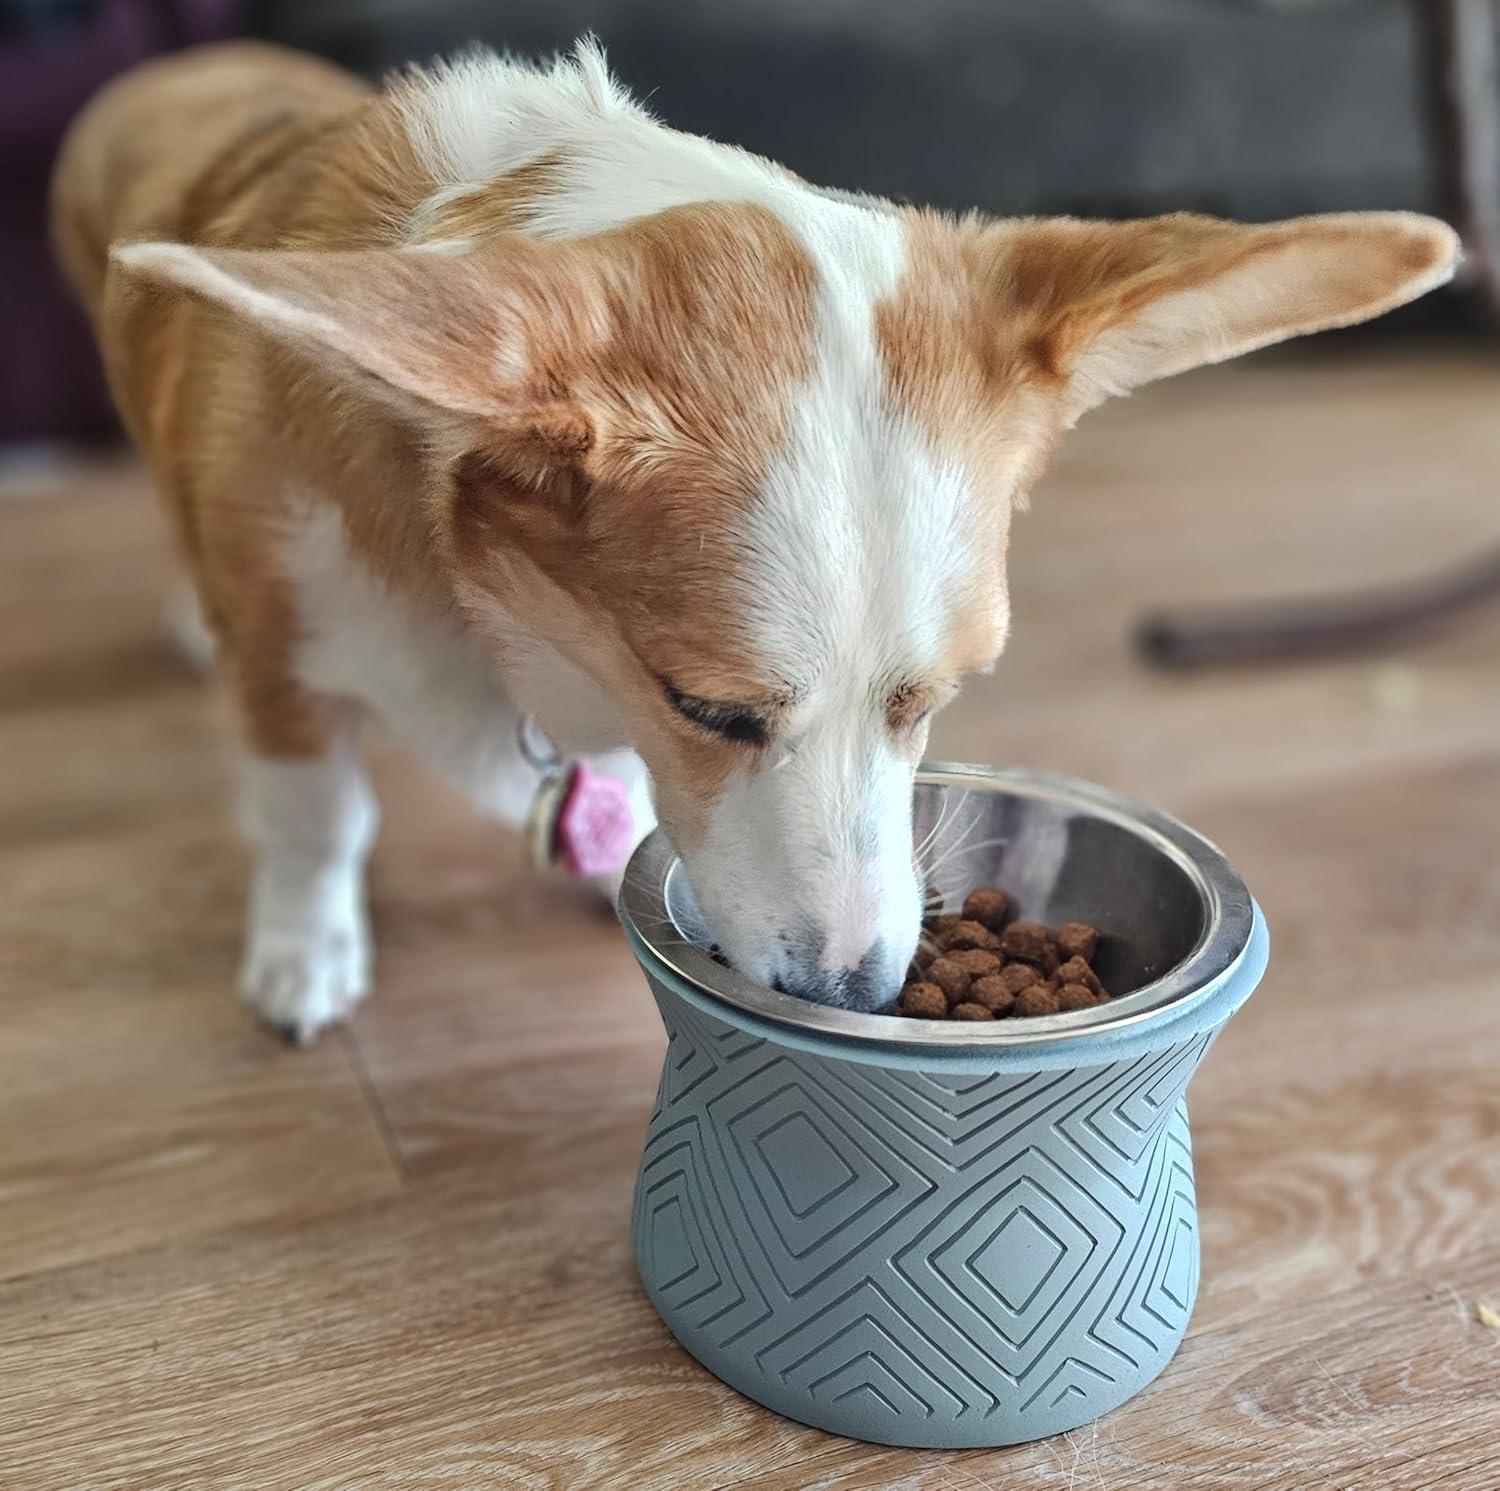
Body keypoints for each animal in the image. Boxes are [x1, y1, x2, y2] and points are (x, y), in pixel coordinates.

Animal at [55, 34, 1452, 1032]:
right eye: (710, 708)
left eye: (933, 700)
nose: (854, 997)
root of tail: (193, 59)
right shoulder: (285, 660)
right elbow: (316, 818)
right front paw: (307, 956)